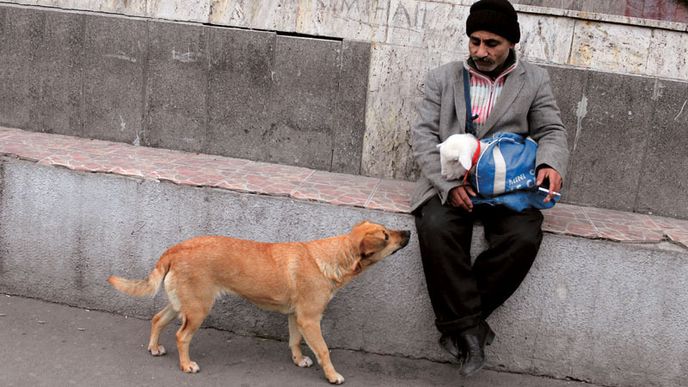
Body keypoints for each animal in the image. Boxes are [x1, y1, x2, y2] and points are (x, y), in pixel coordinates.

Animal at [107, 221, 408, 384]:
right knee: (182, 336)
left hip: (183, 304)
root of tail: (175, 249)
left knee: (157, 319)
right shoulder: (311, 319)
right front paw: (332, 375)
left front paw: (299, 360)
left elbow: (294, 341)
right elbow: (324, 350)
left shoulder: (296, 317)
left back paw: (154, 347)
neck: (333, 256)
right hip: (198, 309)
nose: (407, 231)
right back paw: (186, 365)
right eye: (385, 236)